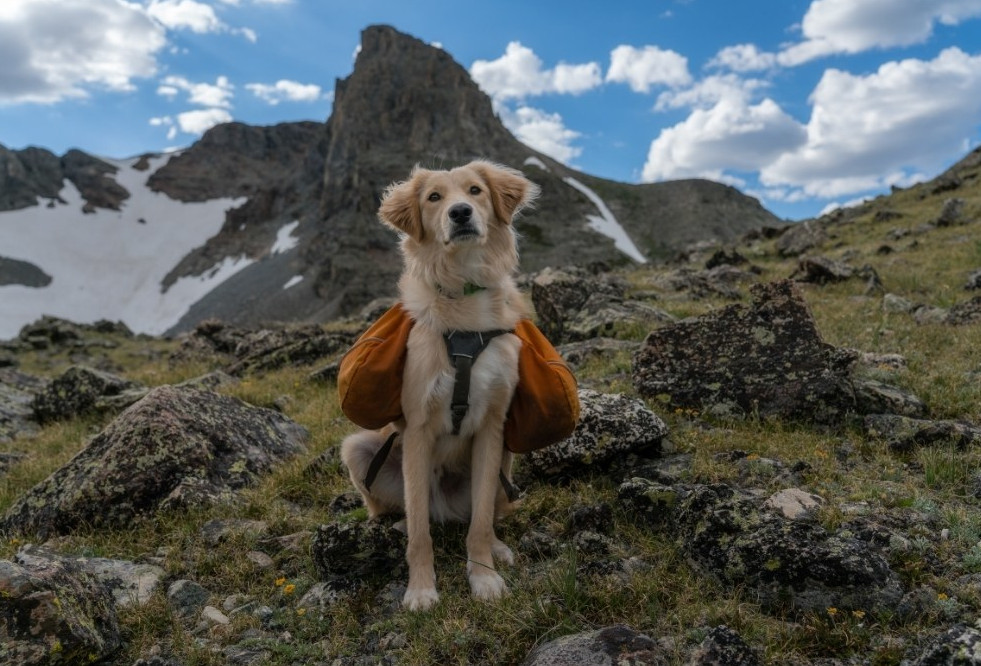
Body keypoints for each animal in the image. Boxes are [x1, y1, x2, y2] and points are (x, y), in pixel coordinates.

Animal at [336, 158, 536, 608]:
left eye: (476, 190)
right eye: (433, 197)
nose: (460, 212)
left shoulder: (492, 426)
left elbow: (479, 524)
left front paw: (484, 577)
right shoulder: (418, 428)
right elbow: (420, 535)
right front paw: (421, 589)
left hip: (506, 458)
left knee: (486, 514)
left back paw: (498, 548)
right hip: (359, 448)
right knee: (405, 513)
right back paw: (396, 526)